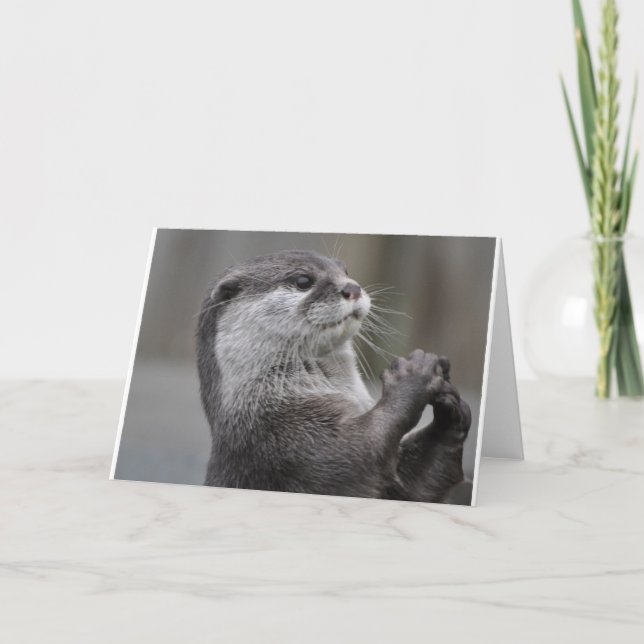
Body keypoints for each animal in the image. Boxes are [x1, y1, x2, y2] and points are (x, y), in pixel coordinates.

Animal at [196, 250, 472, 504]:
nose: (352, 288)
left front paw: (450, 411)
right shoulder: (286, 442)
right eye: (303, 280)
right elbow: (360, 451)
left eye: (345, 271)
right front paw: (413, 375)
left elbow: (418, 486)